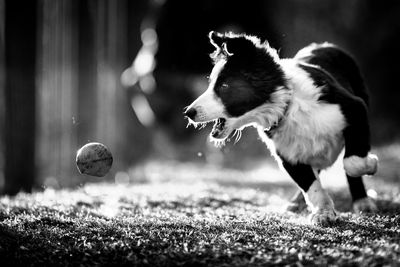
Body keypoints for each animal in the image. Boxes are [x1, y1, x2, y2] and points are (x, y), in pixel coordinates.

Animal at [184, 31, 378, 226]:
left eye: (224, 86)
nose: (188, 112)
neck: (287, 105)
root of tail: (324, 44)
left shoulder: (355, 108)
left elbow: (353, 163)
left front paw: (371, 163)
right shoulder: (287, 154)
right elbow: (310, 184)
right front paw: (323, 212)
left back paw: (362, 201)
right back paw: (297, 202)